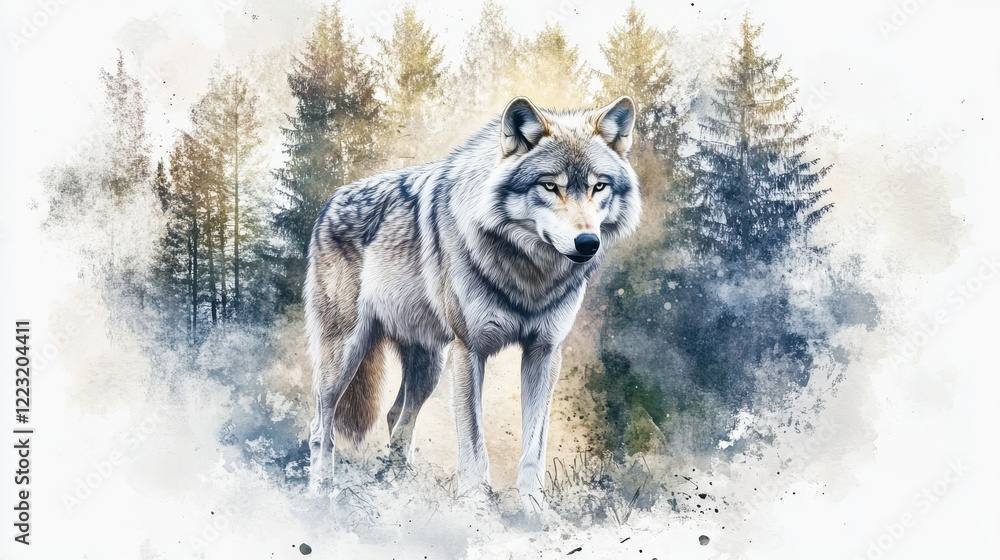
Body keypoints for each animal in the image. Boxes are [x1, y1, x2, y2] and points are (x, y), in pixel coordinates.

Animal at [305, 95, 641, 506]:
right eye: (549, 185)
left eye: (599, 186)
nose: (588, 243)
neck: (529, 274)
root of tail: (330, 202)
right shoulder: (470, 351)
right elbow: (474, 444)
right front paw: (476, 507)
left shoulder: (545, 352)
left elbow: (534, 447)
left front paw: (534, 509)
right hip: (345, 356)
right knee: (321, 426)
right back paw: (322, 494)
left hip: (429, 366)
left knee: (397, 417)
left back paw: (399, 492)